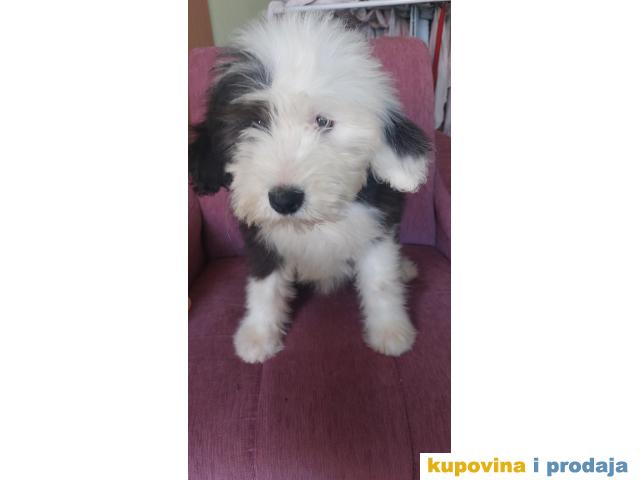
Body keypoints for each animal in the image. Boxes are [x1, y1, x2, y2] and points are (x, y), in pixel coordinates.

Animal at [189, 12, 431, 363]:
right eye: (256, 123)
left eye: (323, 122)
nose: (284, 199)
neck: (314, 223)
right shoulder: (261, 239)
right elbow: (265, 287)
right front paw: (259, 335)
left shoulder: (377, 228)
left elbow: (381, 283)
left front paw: (390, 331)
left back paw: (405, 269)